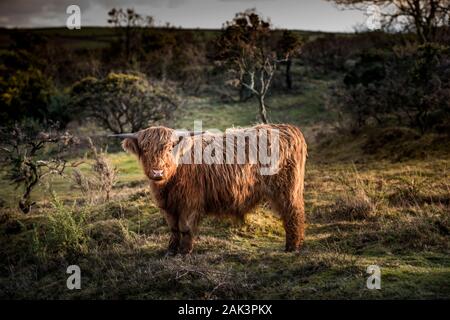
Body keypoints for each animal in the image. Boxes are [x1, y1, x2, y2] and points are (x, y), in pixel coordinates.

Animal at [114, 124, 308, 254]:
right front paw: (170, 251)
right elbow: (174, 228)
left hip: (287, 189)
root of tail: (289, 128)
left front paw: (184, 252)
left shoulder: (190, 202)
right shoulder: (168, 205)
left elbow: (185, 227)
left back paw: (292, 247)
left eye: (169, 148)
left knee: (293, 213)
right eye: (145, 149)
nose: (157, 172)